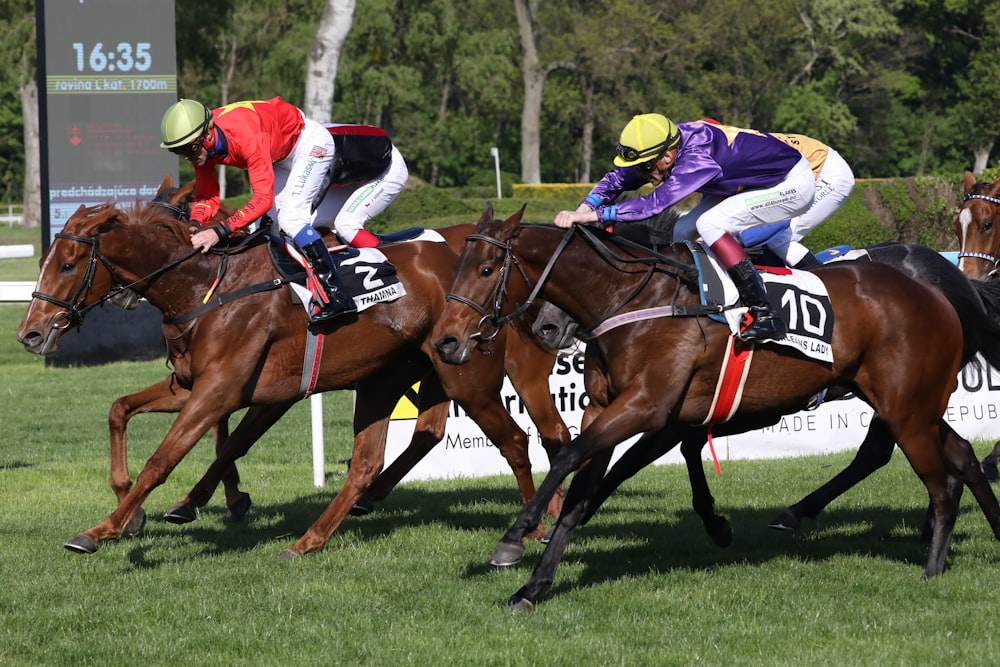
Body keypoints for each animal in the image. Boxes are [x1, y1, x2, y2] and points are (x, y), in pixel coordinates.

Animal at [17, 197, 564, 560]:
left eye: (68, 264)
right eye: (42, 262)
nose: (30, 334)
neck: (204, 288)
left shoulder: (222, 389)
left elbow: (167, 458)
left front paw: (103, 529)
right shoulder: (195, 386)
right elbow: (122, 409)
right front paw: (133, 510)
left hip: (470, 376)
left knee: (521, 440)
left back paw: (531, 529)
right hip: (386, 378)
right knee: (376, 457)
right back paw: (312, 538)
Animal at [428, 207, 1000, 612]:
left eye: (486, 269)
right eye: (455, 269)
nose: (447, 342)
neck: (639, 299)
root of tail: (940, 291)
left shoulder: (648, 408)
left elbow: (574, 459)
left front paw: (515, 537)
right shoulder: (614, 410)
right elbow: (586, 484)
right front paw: (535, 585)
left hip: (906, 406)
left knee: (924, 470)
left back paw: (926, 563)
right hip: (911, 402)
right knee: (961, 452)